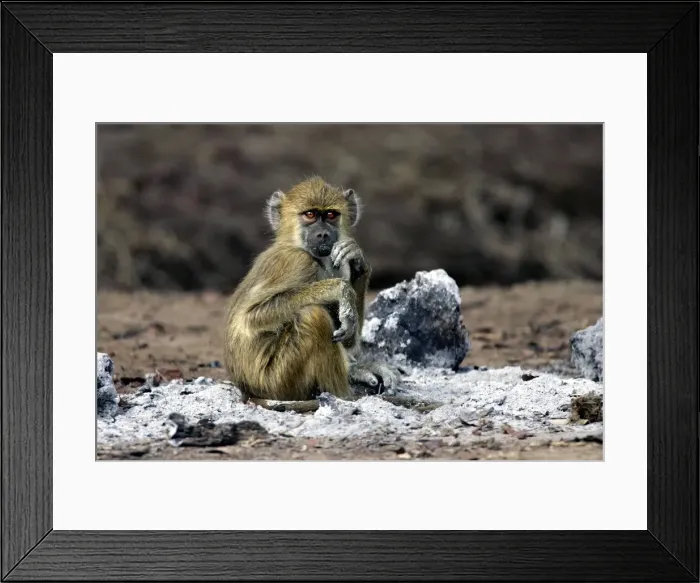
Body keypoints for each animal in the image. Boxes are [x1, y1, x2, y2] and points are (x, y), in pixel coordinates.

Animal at [224, 176, 401, 410]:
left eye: (331, 215)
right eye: (310, 215)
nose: (323, 234)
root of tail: (246, 389)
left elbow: (348, 339)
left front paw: (357, 259)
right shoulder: (297, 262)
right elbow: (251, 317)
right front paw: (339, 289)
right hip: (279, 381)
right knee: (313, 316)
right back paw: (346, 397)